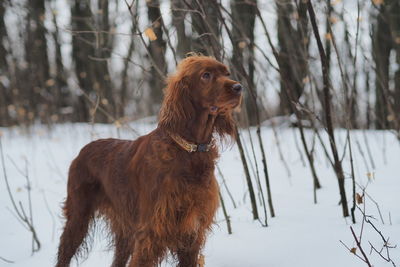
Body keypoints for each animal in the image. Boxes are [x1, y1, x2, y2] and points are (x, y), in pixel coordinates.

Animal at [55, 55, 244, 266]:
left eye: (227, 73)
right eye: (206, 75)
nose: (238, 87)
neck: (190, 150)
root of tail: (83, 150)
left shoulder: (191, 233)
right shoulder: (152, 232)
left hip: (125, 230)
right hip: (78, 216)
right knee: (64, 252)